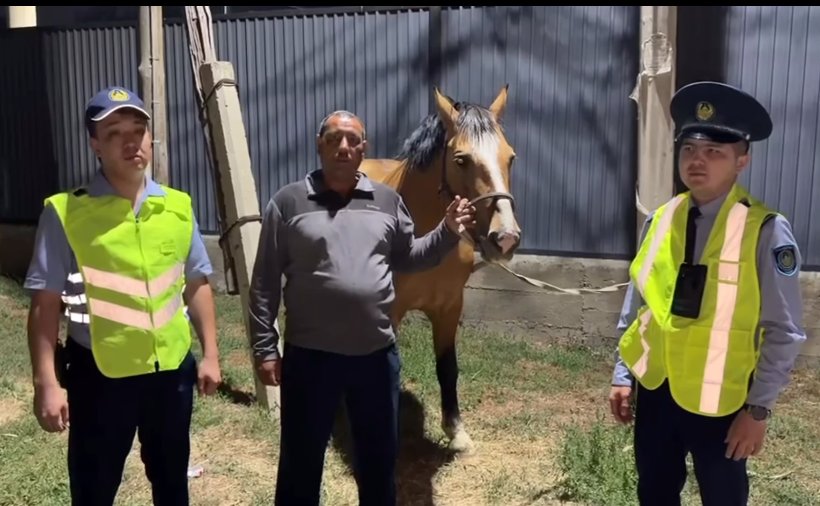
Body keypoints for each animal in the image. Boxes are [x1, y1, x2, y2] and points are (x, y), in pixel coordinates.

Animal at [359, 85, 522, 453]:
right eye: (461, 160)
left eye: (510, 157)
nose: (505, 238)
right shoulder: (391, 311)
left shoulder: (449, 308)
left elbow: (448, 368)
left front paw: (457, 432)